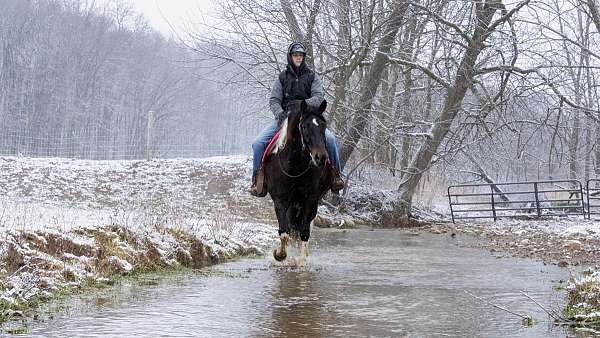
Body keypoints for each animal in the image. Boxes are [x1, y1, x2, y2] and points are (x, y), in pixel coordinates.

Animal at [264, 99, 332, 262]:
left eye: (323, 125)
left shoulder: (310, 201)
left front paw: (302, 262)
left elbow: (304, 233)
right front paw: (280, 255)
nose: (321, 157)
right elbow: (284, 232)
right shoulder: (280, 200)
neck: (295, 166)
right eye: (304, 126)